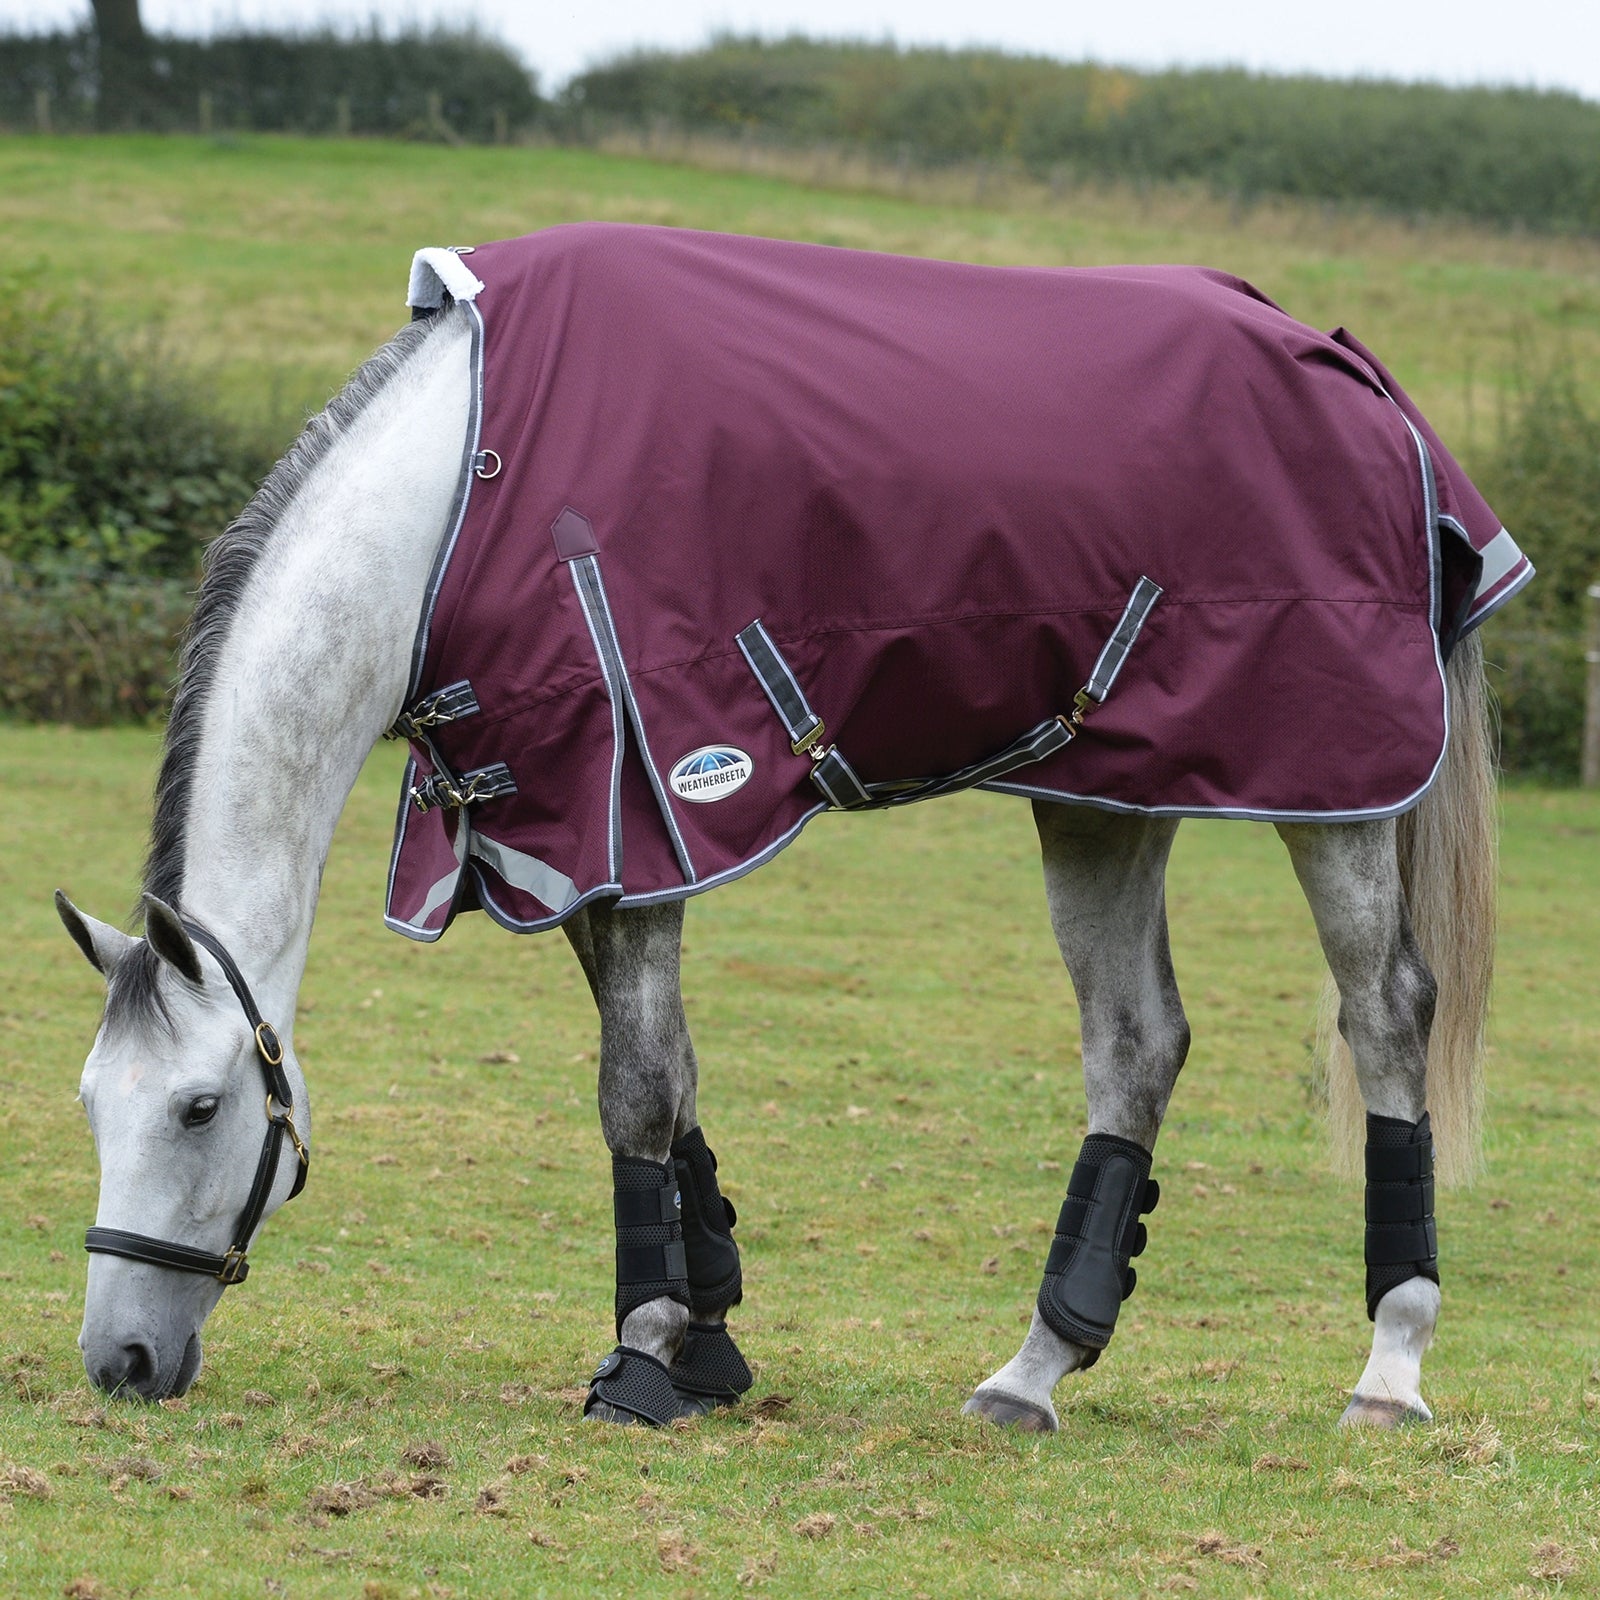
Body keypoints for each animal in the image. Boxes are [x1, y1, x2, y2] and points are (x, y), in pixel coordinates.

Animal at [57, 223, 1528, 1431]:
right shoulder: (568, 833)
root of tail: (1346, 370)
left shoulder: (641, 801)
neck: (458, 500)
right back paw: (1035, 1370)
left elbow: (637, 1088)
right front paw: (707, 1341)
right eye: (89, 1104)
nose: (118, 1362)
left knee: (1385, 1015)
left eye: (198, 1108)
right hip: (1105, 790)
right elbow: (675, 1080)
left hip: (1331, 787)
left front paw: (644, 1354)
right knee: (1136, 1044)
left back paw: (1390, 1366)